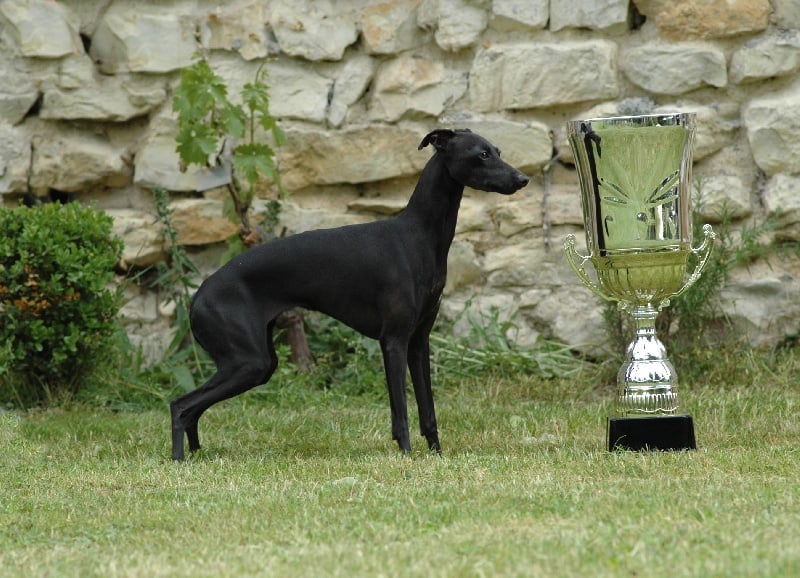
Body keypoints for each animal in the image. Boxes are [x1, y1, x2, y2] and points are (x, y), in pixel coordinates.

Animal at [170, 128, 532, 456]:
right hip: (248, 362)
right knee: (180, 405)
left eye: (497, 150)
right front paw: (406, 455)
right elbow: (400, 409)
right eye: (481, 154)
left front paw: (437, 454)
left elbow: (427, 408)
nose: (523, 179)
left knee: (192, 410)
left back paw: (196, 455)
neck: (419, 235)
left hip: (254, 362)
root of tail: (198, 297)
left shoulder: (419, 342)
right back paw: (178, 460)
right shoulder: (393, 341)